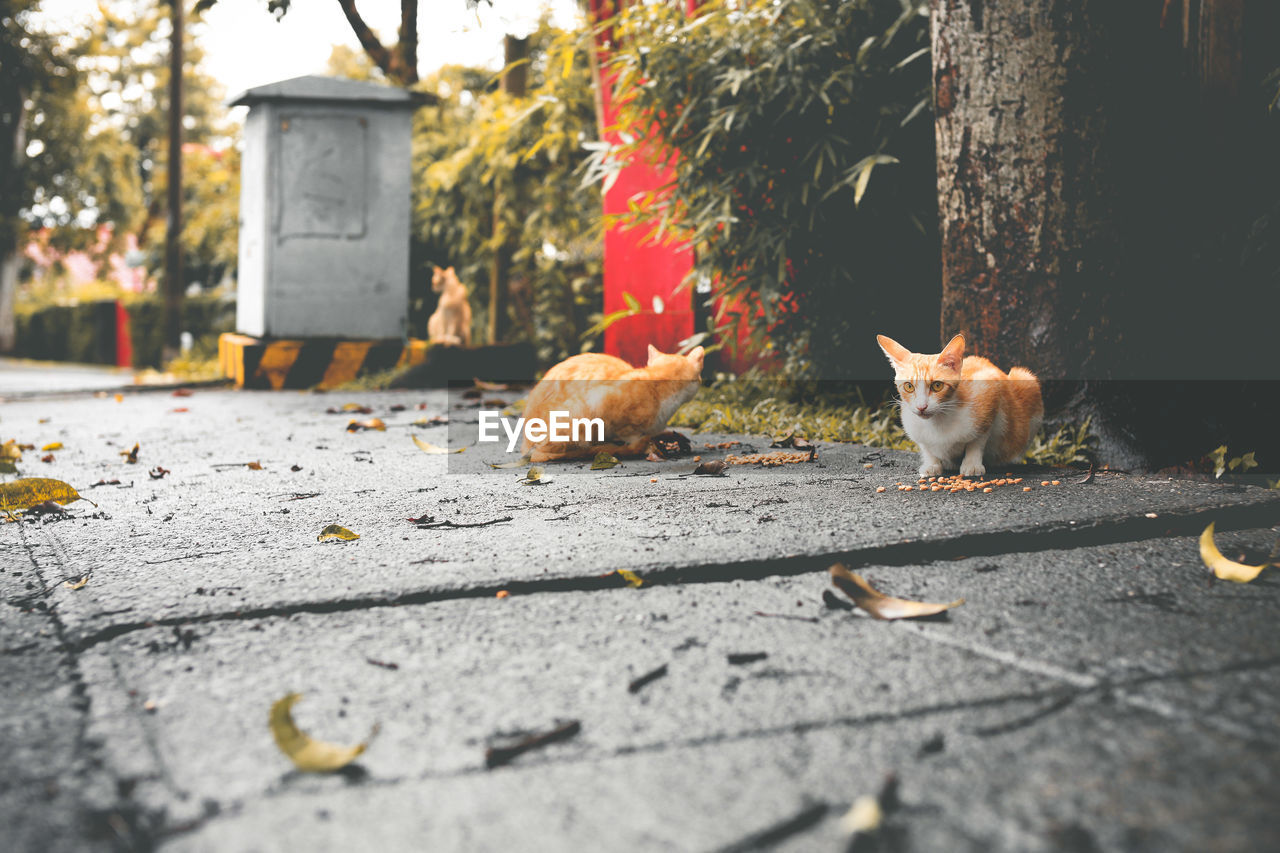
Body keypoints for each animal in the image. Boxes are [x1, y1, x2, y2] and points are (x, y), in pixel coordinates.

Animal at [875, 333, 1044, 479]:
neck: (938, 421)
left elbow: (977, 441)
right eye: (909, 386)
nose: (922, 407)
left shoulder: (990, 391)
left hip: (1026, 381)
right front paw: (932, 464)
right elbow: (926, 447)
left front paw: (971, 464)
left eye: (937, 386)